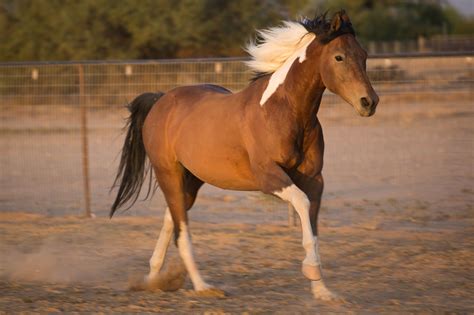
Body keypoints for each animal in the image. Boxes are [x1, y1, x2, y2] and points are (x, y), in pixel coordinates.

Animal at [110, 9, 378, 302]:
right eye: (339, 57)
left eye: (364, 55)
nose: (369, 102)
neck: (283, 111)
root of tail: (161, 100)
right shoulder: (269, 177)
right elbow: (302, 204)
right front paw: (311, 271)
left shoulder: (315, 179)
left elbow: (313, 223)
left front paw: (322, 290)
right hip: (168, 173)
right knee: (181, 231)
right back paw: (202, 287)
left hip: (191, 180)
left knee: (172, 217)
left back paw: (153, 277)